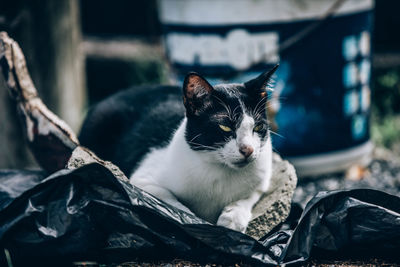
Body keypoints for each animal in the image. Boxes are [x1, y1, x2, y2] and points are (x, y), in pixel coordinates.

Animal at [79, 66, 278, 233]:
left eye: (258, 127)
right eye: (225, 127)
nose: (248, 150)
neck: (221, 169)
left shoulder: (262, 180)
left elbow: (249, 196)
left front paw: (232, 219)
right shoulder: (143, 179)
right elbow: (171, 202)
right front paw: (194, 222)